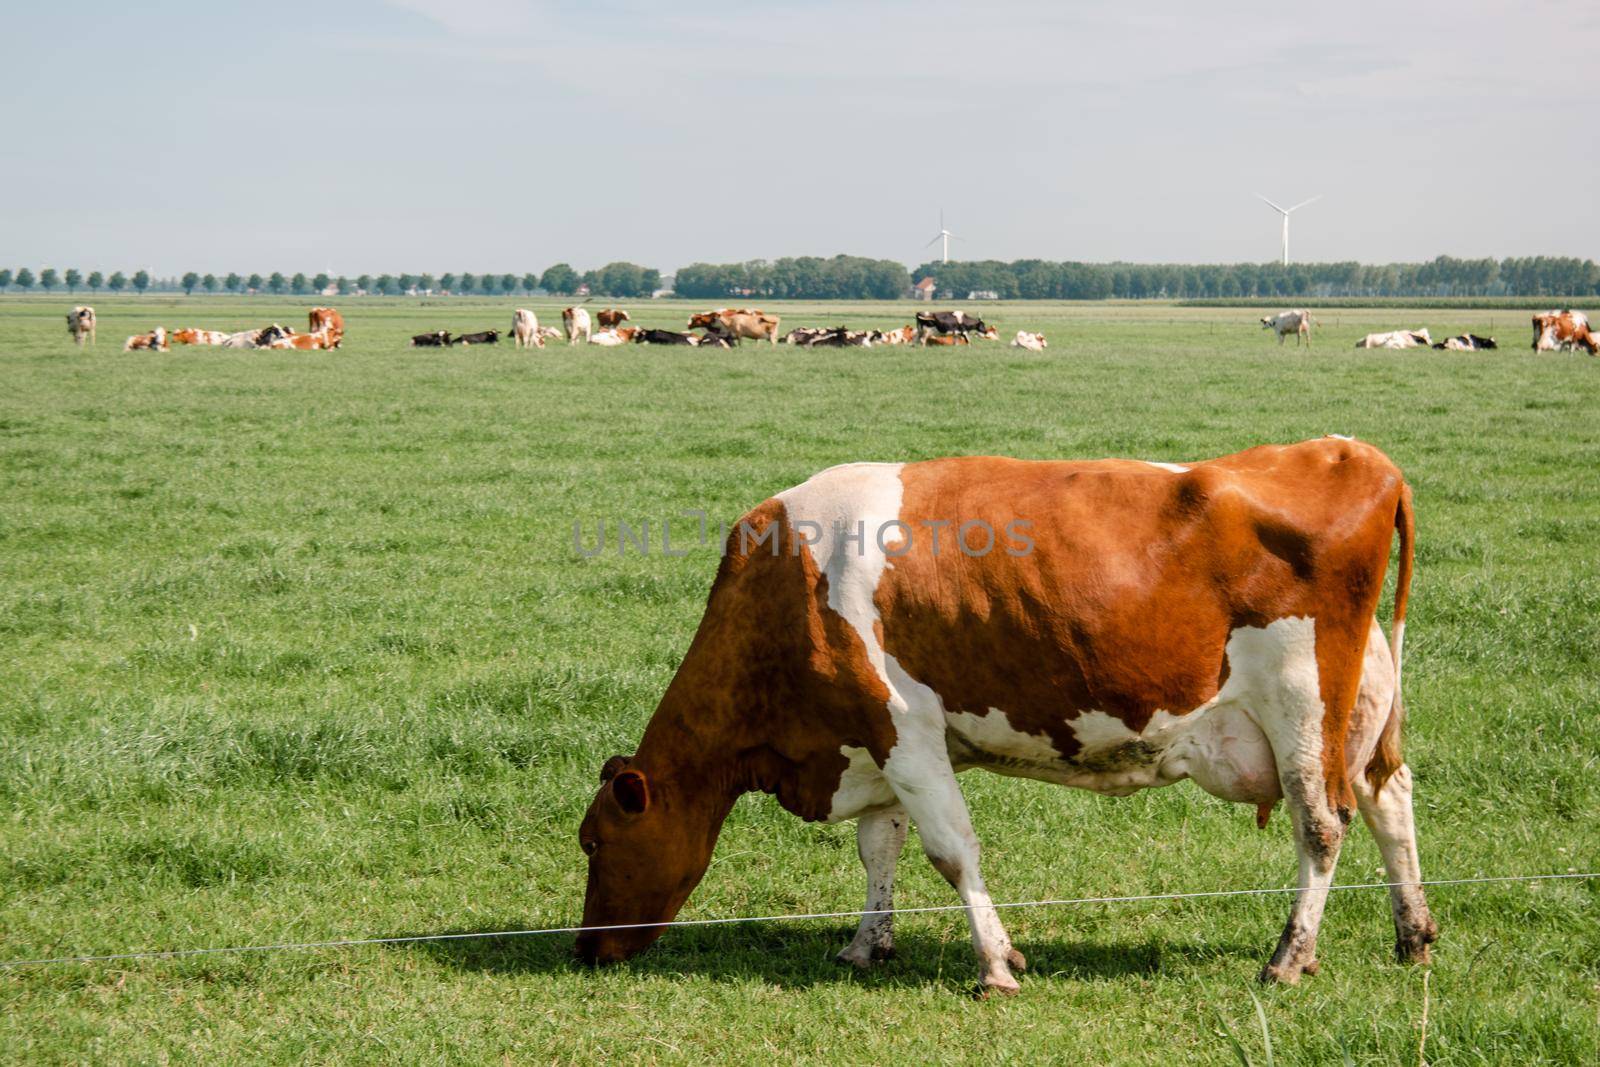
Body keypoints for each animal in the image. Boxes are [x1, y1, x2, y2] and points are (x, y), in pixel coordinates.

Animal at [579, 438, 1440, 998]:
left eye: (595, 841)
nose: (587, 951)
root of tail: (1352, 452)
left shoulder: (902, 730)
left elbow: (952, 851)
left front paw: (996, 965)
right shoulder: (874, 736)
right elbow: (878, 847)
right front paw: (865, 943)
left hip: (1302, 701)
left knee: (1322, 824)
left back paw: (1289, 957)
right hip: (1361, 703)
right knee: (1388, 800)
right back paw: (1413, 935)